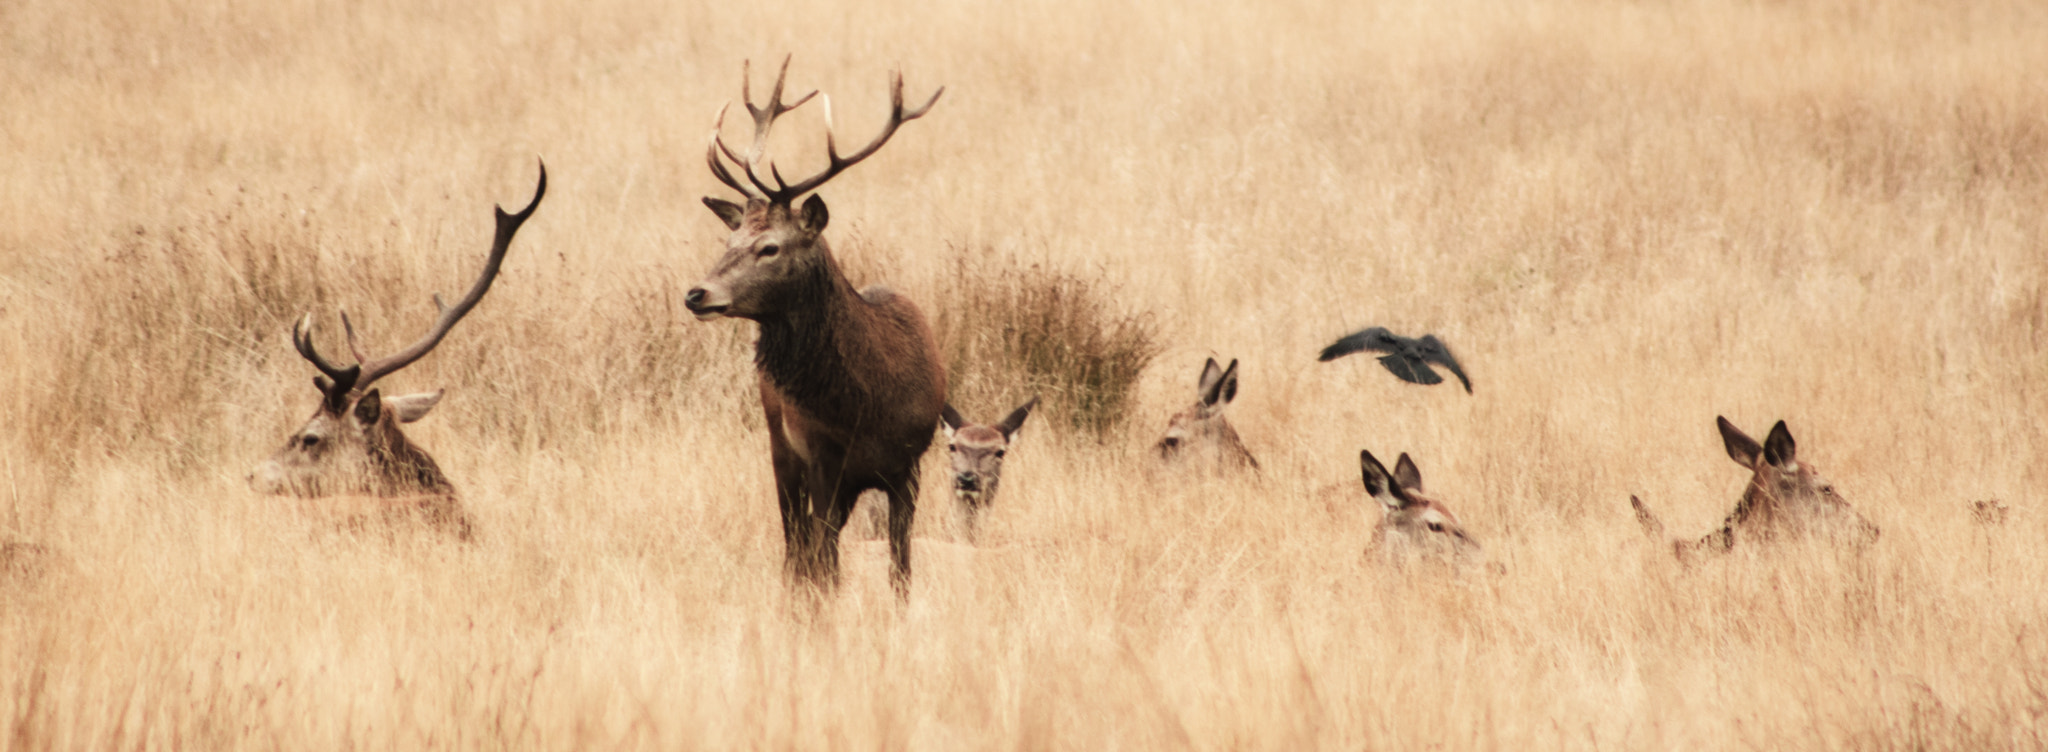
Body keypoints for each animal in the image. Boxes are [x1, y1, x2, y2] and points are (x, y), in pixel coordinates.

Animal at [682, 57, 947, 600]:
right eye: (729, 240)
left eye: (770, 247)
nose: (697, 294)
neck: (869, 406)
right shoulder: (823, 458)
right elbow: (824, 563)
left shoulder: (909, 465)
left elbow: (901, 569)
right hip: (780, 447)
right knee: (796, 547)